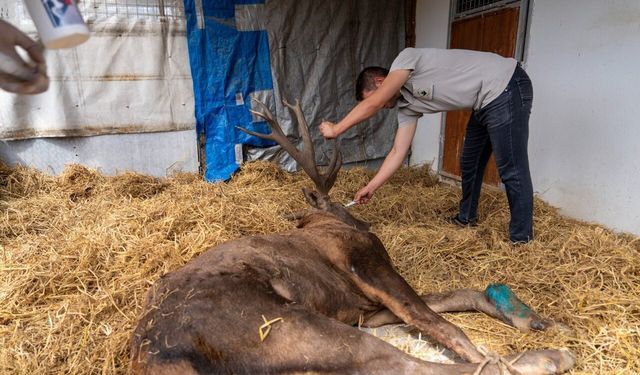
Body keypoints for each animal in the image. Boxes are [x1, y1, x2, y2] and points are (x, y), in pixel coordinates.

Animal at [130, 98, 576, 374]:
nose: (361, 219)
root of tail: (154, 358)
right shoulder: (368, 266)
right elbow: (439, 322)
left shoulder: (364, 307)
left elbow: (453, 297)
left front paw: (528, 317)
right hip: (288, 327)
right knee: (409, 365)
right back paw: (549, 358)